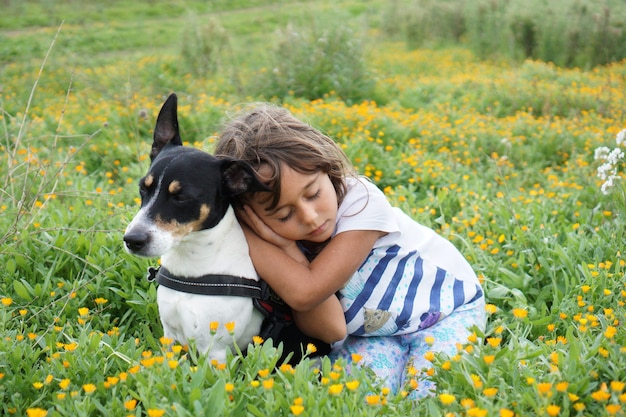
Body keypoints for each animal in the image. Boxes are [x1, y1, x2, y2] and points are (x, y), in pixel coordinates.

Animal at [122, 93, 266, 360]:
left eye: (181, 197)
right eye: (142, 188)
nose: (132, 240)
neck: (190, 267)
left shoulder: (215, 352)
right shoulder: (170, 337)